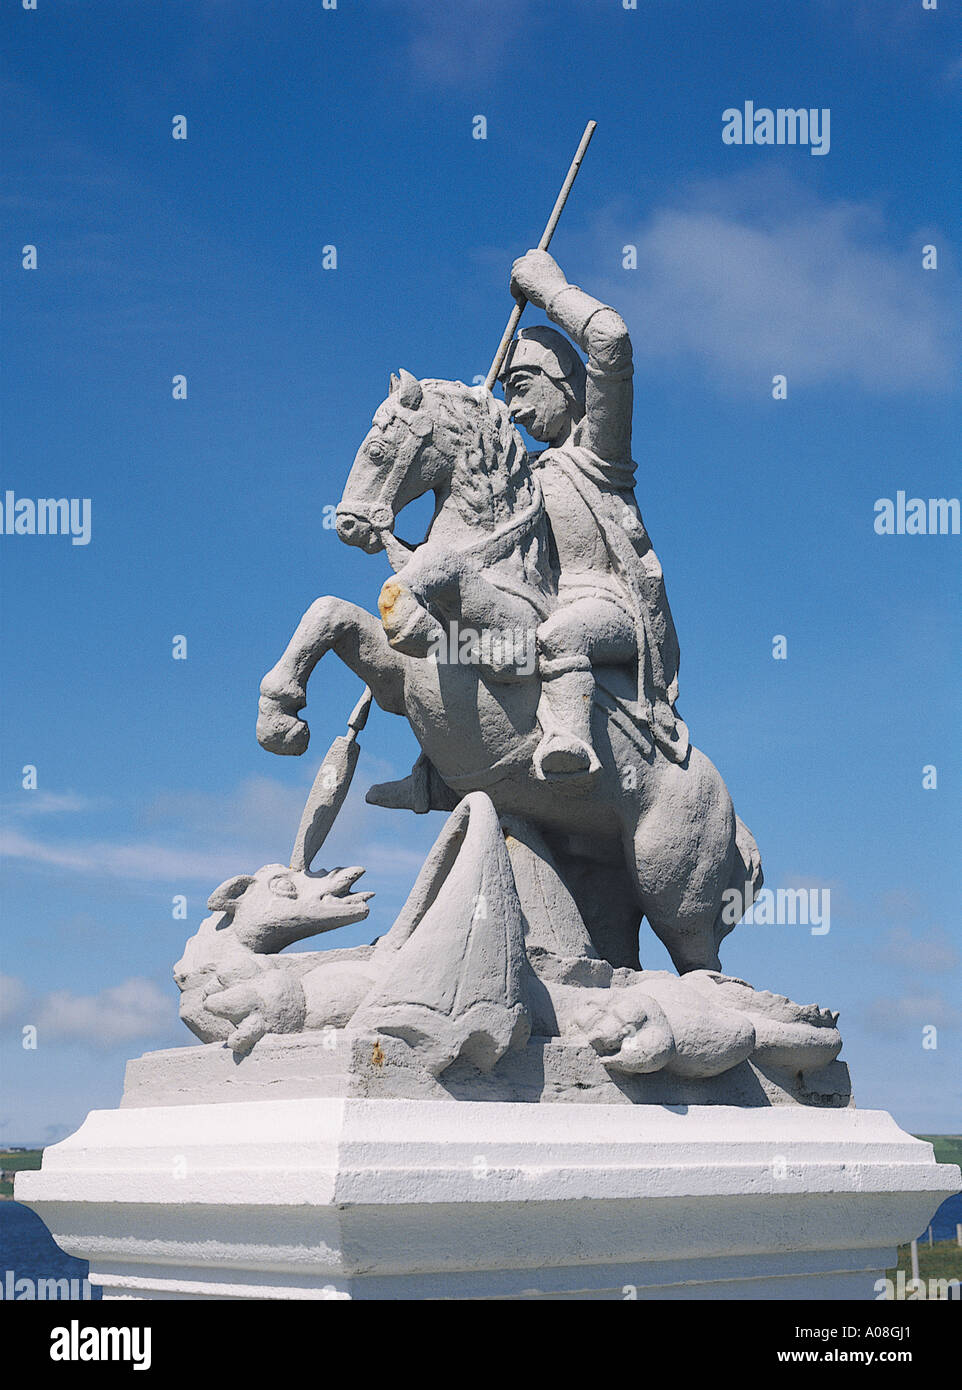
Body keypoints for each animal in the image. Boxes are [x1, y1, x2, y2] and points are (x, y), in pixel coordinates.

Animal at [259, 375, 761, 973]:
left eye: (378, 448)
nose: (349, 524)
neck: (497, 558)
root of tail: (738, 827)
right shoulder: (397, 682)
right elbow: (328, 611)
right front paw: (280, 719)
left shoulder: (508, 644)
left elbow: (440, 576)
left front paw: (410, 611)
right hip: (603, 874)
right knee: (618, 942)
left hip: (670, 882)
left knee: (701, 960)